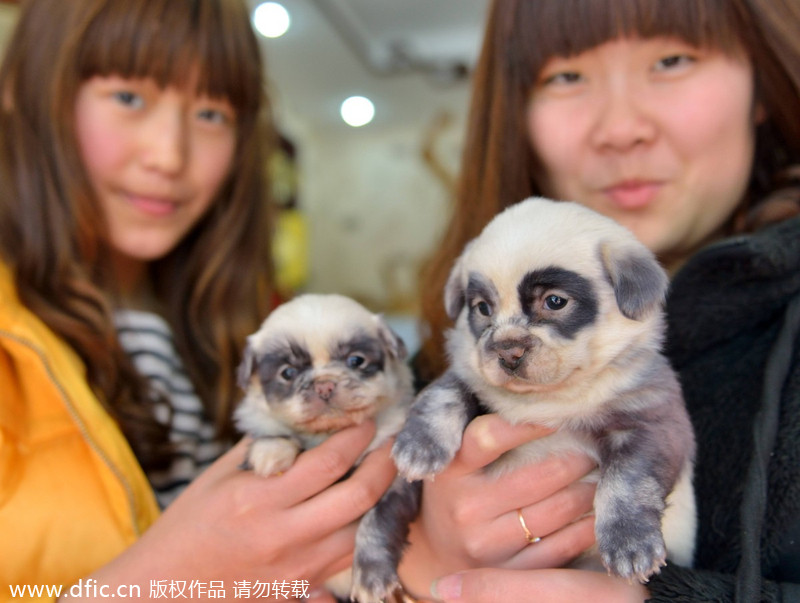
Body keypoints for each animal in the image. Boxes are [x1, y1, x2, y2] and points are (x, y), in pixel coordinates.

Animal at [234, 292, 416, 600]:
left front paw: (371, 579)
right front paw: (271, 451)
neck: (328, 433)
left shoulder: (395, 485)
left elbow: (375, 524)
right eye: (288, 372)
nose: (324, 386)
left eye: (356, 360)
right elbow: (274, 434)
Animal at [350, 199, 692, 603]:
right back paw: (371, 568)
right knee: (384, 510)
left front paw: (629, 543)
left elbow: (626, 483)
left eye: (555, 301)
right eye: (482, 308)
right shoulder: (471, 381)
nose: (508, 351)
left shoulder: (650, 424)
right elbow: (444, 393)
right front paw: (420, 446)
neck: (548, 399)